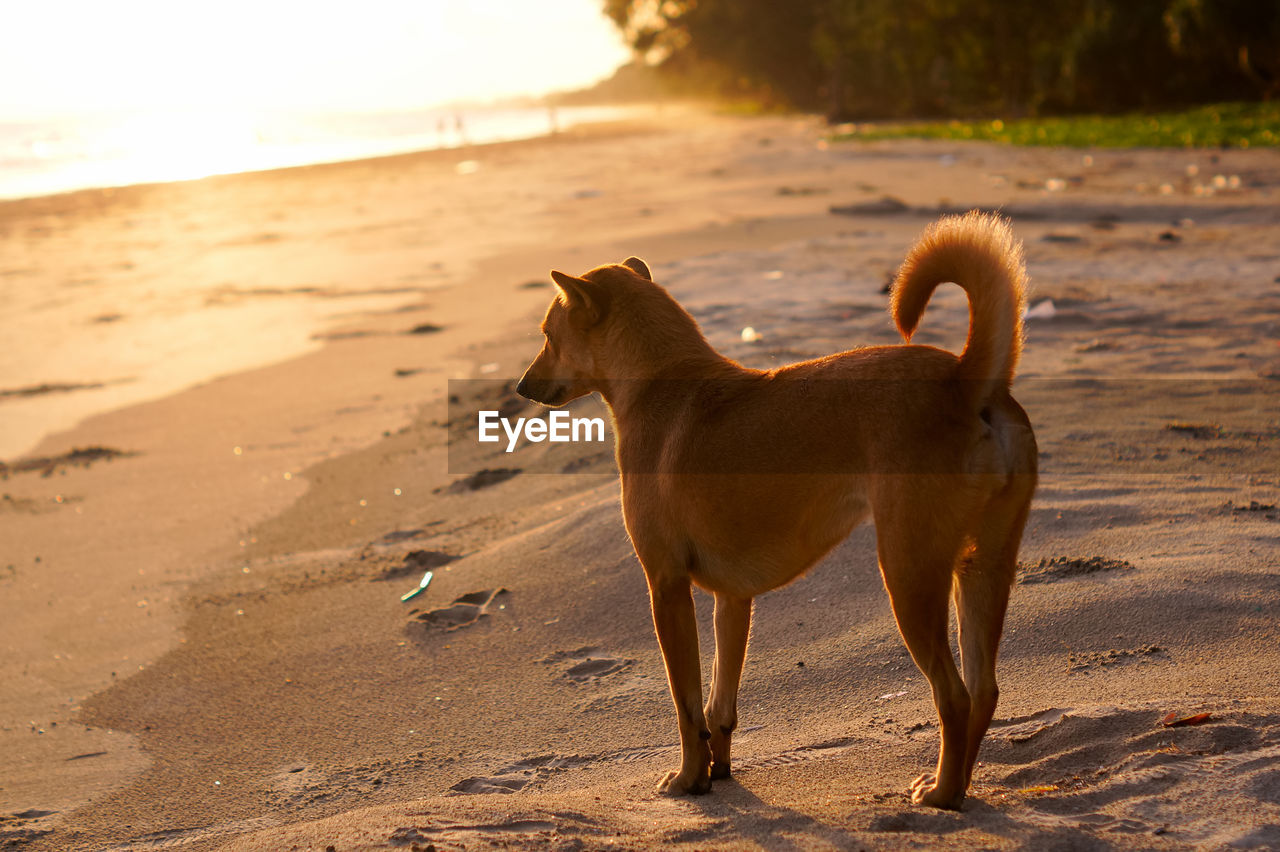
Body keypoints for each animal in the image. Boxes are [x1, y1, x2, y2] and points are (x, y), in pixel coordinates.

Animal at [514, 211, 1034, 803]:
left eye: (547, 335)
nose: (521, 386)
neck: (658, 381)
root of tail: (965, 380)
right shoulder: (732, 599)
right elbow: (718, 706)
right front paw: (717, 772)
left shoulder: (666, 586)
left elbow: (685, 706)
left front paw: (687, 780)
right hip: (983, 566)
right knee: (985, 690)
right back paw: (959, 785)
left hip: (909, 573)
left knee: (955, 696)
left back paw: (942, 795)